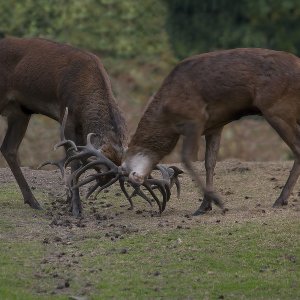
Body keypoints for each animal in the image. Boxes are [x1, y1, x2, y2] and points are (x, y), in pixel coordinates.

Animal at [0, 36, 128, 217]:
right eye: (102, 171)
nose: (101, 181)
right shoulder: (66, 117)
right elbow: (73, 161)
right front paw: (75, 206)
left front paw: (69, 199)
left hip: (20, 112)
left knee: (8, 148)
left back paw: (33, 201)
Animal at [117, 48, 300, 214]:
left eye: (126, 170)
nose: (135, 180)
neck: (166, 116)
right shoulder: (215, 126)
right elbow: (209, 163)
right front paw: (205, 205)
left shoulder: (196, 119)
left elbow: (187, 159)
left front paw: (217, 201)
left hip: (276, 109)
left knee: (297, 149)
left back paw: (280, 199)